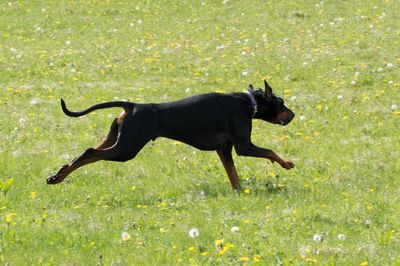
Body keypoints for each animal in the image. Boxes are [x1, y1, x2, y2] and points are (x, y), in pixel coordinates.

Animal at [47, 80, 296, 190]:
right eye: (281, 102)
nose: (293, 114)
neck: (248, 102)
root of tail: (132, 106)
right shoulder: (244, 146)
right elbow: (270, 151)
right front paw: (286, 163)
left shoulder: (223, 149)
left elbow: (233, 175)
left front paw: (240, 192)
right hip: (126, 149)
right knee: (90, 153)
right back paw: (60, 176)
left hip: (115, 140)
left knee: (84, 154)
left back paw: (57, 175)